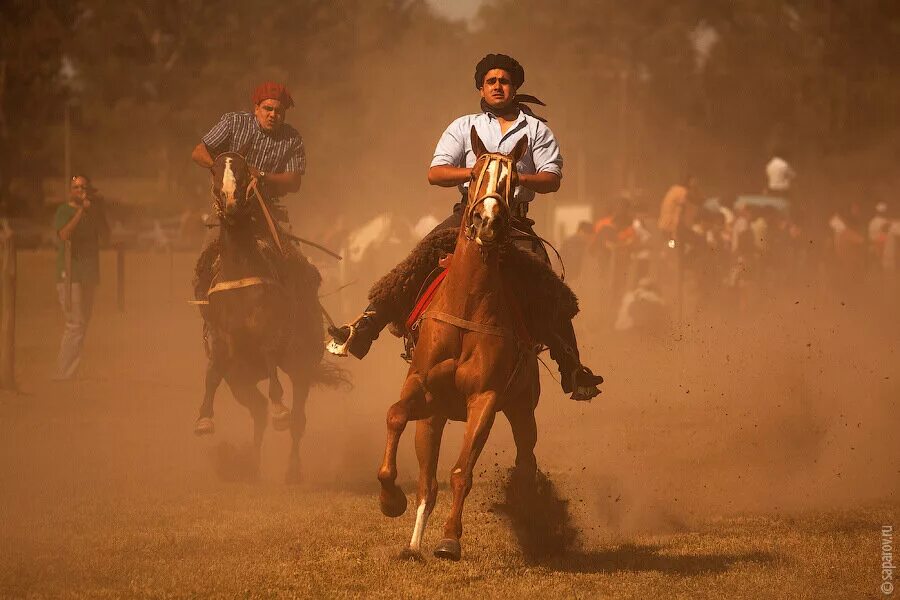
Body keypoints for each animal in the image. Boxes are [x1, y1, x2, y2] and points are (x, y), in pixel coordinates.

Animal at [193, 154, 326, 482]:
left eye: (242, 171)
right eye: (215, 171)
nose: (230, 200)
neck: (240, 268)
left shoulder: (269, 331)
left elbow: (269, 358)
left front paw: (281, 408)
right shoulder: (220, 338)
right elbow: (212, 374)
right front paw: (204, 419)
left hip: (301, 366)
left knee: (297, 419)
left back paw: (292, 470)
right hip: (240, 380)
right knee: (258, 411)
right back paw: (252, 467)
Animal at [374, 129, 536, 560]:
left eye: (514, 180)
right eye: (476, 173)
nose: (487, 221)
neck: (467, 304)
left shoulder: (486, 398)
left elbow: (462, 471)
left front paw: (449, 539)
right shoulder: (423, 388)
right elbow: (395, 415)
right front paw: (390, 499)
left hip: (523, 407)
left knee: (527, 456)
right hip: (434, 417)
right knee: (427, 481)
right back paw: (413, 543)